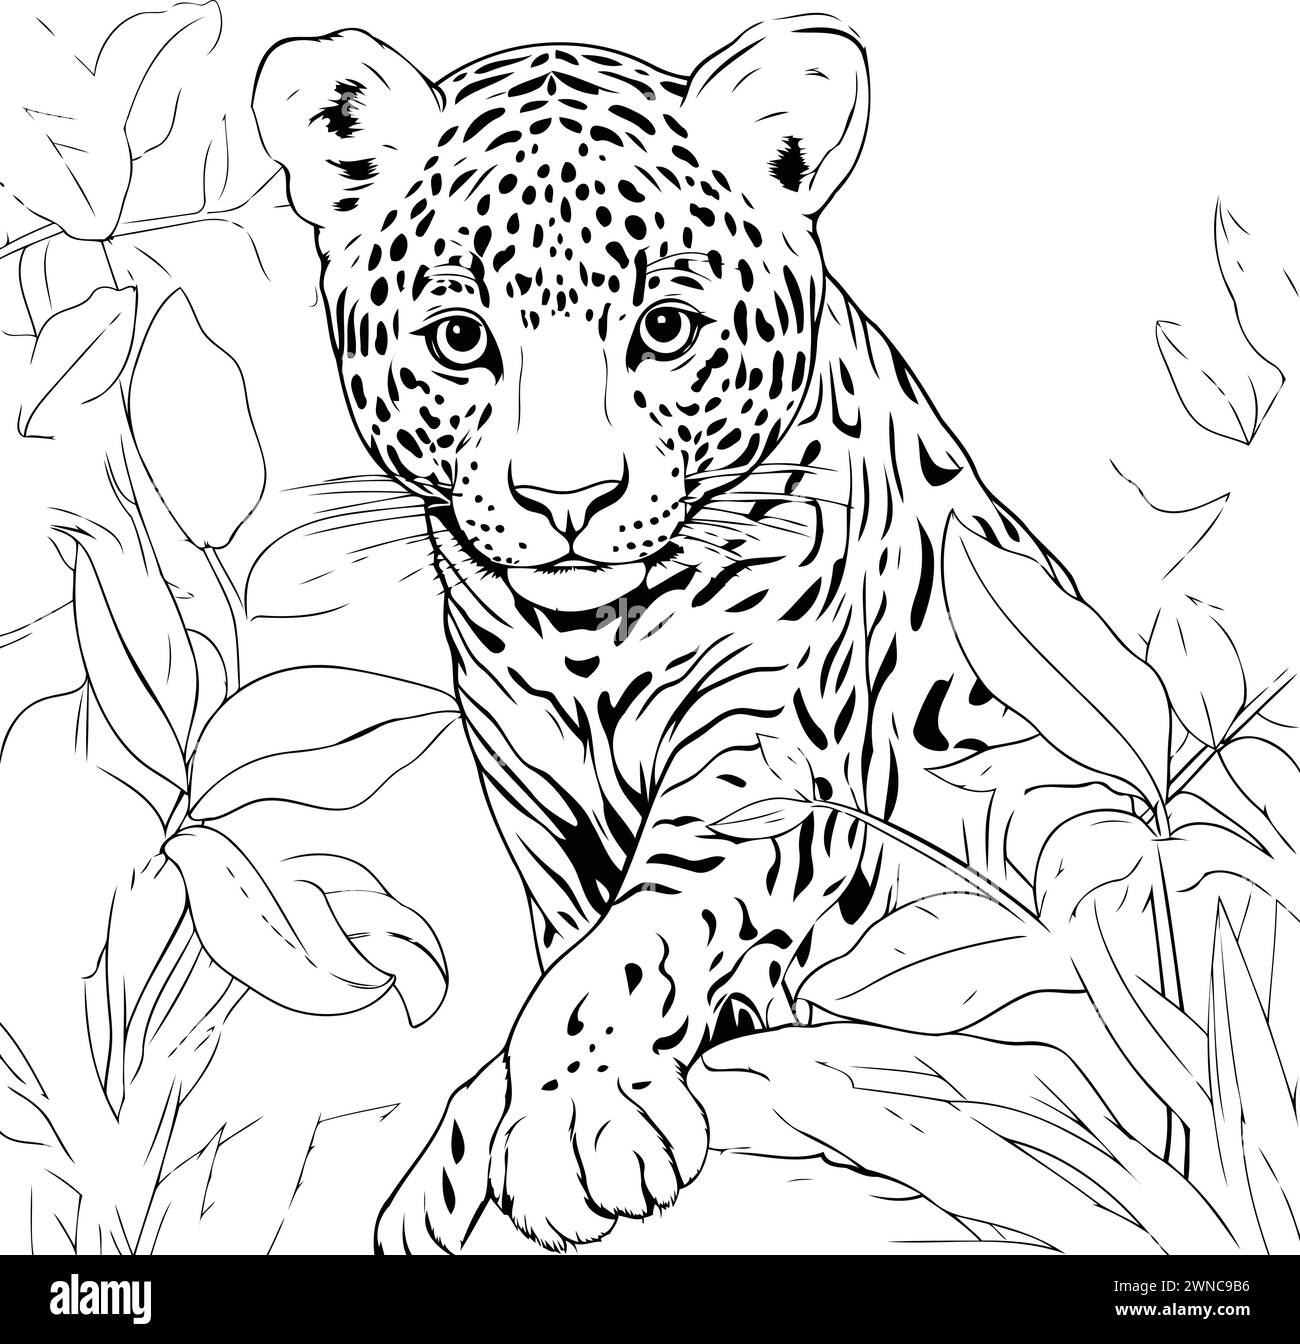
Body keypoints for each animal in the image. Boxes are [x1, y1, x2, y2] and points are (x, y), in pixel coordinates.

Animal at [253, 14, 1076, 1253]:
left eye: (665, 328)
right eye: (460, 338)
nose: (567, 499)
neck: (580, 646)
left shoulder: (775, 788)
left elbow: (626, 954)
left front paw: (570, 1129)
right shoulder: (544, 824)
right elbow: (562, 972)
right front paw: (453, 1174)